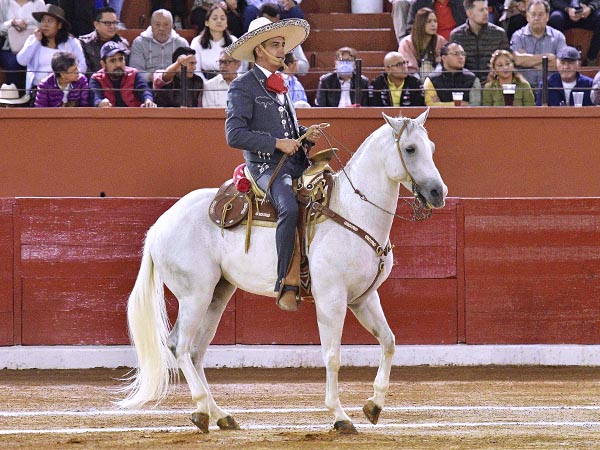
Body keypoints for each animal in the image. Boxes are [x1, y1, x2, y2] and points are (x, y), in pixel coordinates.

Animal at [117, 109, 446, 432]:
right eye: (410, 148)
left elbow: (389, 342)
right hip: (194, 295)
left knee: (196, 351)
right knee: (180, 346)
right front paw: (340, 415)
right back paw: (200, 410)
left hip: (217, 294)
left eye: (431, 148)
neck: (353, 212)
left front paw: (373, 405)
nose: (437, 192)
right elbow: (333, 356)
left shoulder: (363, 298)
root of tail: (159, 225)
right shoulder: (331, 300)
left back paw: (220, 415)